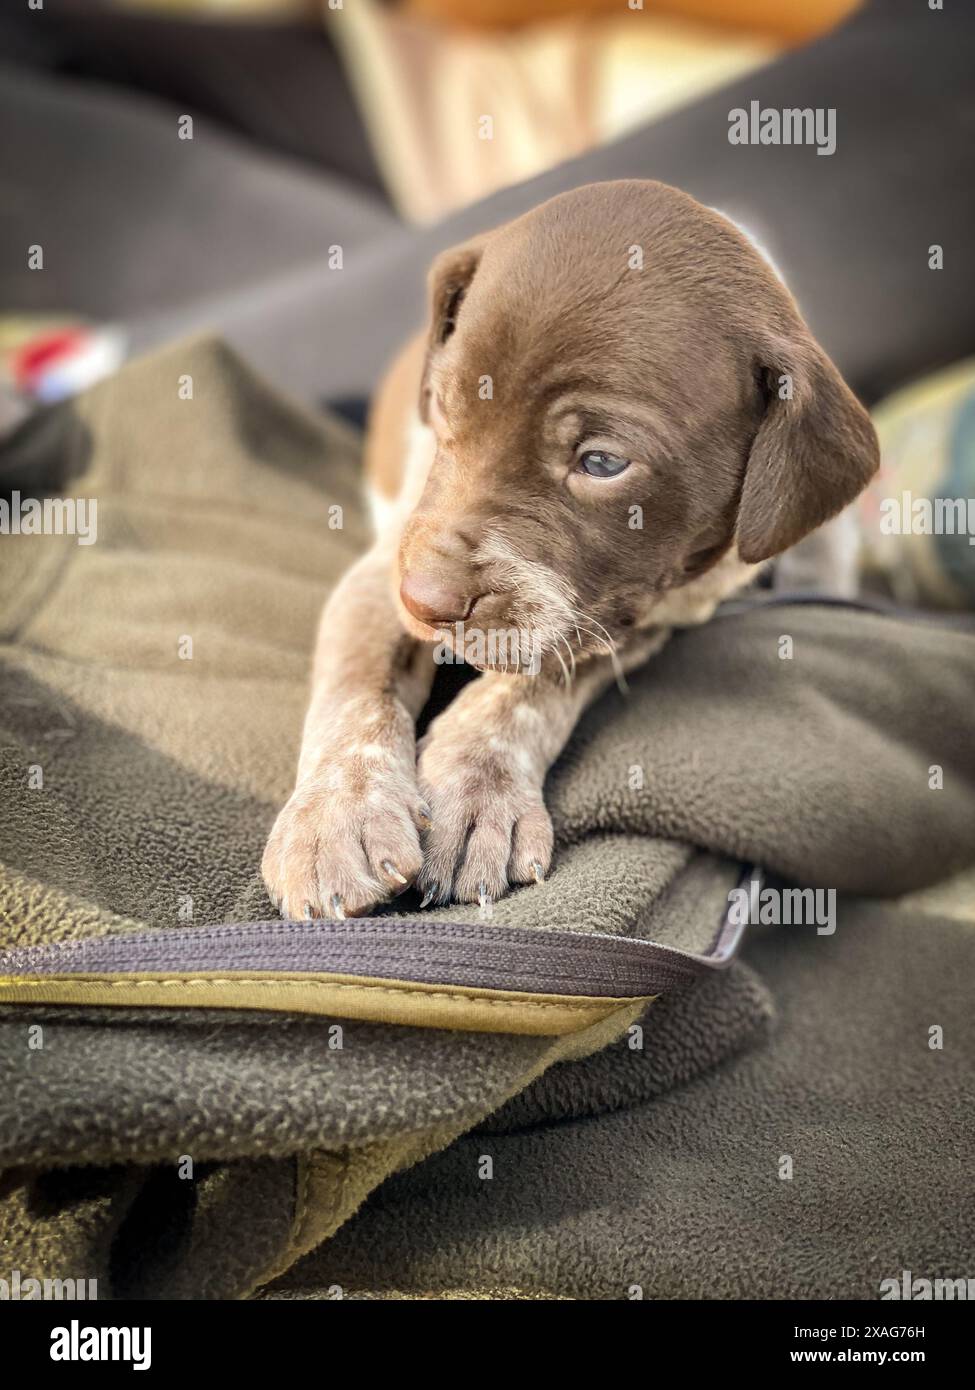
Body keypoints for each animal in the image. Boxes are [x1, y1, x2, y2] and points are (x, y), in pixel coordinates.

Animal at [262, 182, 879, 922]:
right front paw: (337, 813)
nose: (426, 602)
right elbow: (357, 686)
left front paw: (479, 791)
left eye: (603, 463)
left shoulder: (642, 610)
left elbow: (534, 685)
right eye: (441, 406)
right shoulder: (382, 573)